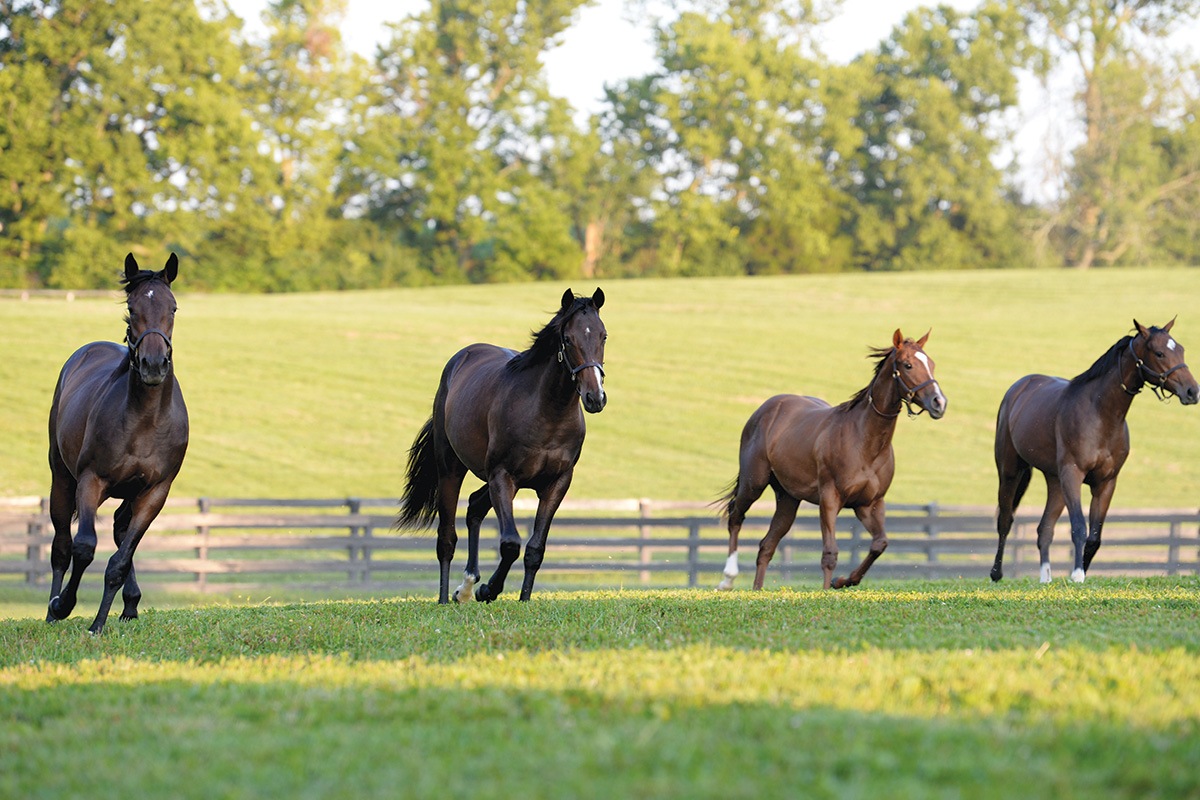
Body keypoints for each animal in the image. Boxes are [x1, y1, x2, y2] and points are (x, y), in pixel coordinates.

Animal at [44, 253, 187, 633]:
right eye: (132, 308)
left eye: (173, 307)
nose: (153, 365)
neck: (145, 420)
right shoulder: (91, 481)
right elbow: (83, 547)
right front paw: (64, 605)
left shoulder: (154, 492)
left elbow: (120, 561)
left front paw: (99, 624)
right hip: (62, 480)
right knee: (61, 545)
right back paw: (51, 612)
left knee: (121, 532)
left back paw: (130, 604)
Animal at [400, 291, 609, 604]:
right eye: (567, 339)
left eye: (603, 336)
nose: (595, 397)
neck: (546, 414)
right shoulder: (502, 476)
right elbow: (510, 543)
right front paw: (488, 590)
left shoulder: (557, 483)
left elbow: (535, 549)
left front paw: (522, 599)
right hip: (451, 469)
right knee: (447, 538)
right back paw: (447, 597)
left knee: (474, 507)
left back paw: (466, 587)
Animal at [710, 328, 945, 592]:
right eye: (908, 365)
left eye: (931, 364)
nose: (939, 403)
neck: (864, 441)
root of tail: (765, 409)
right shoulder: (830, 499)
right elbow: (830, 553)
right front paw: (826, 589)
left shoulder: (870, 504)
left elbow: (879, 544)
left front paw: (842, 581)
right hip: (754, 483)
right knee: (735, 516)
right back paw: (728, 579)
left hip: (788, 499)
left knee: (766, 546)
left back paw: (757, 589)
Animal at [988, 316, 1195, 585]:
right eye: (1159, 353)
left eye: (1180, 349)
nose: (1192, 391)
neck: (1099, 414)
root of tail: (1019, 388)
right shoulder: (1073, 475)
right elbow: (1078, 527)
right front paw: (1077, 575)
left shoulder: (1106, 483)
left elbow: (1094, 537)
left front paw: (1082, 573)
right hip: (1011, 471)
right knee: (1005, 520)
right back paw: (996, 573)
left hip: (1055, 481)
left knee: (1045, 529)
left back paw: (1046, 578)